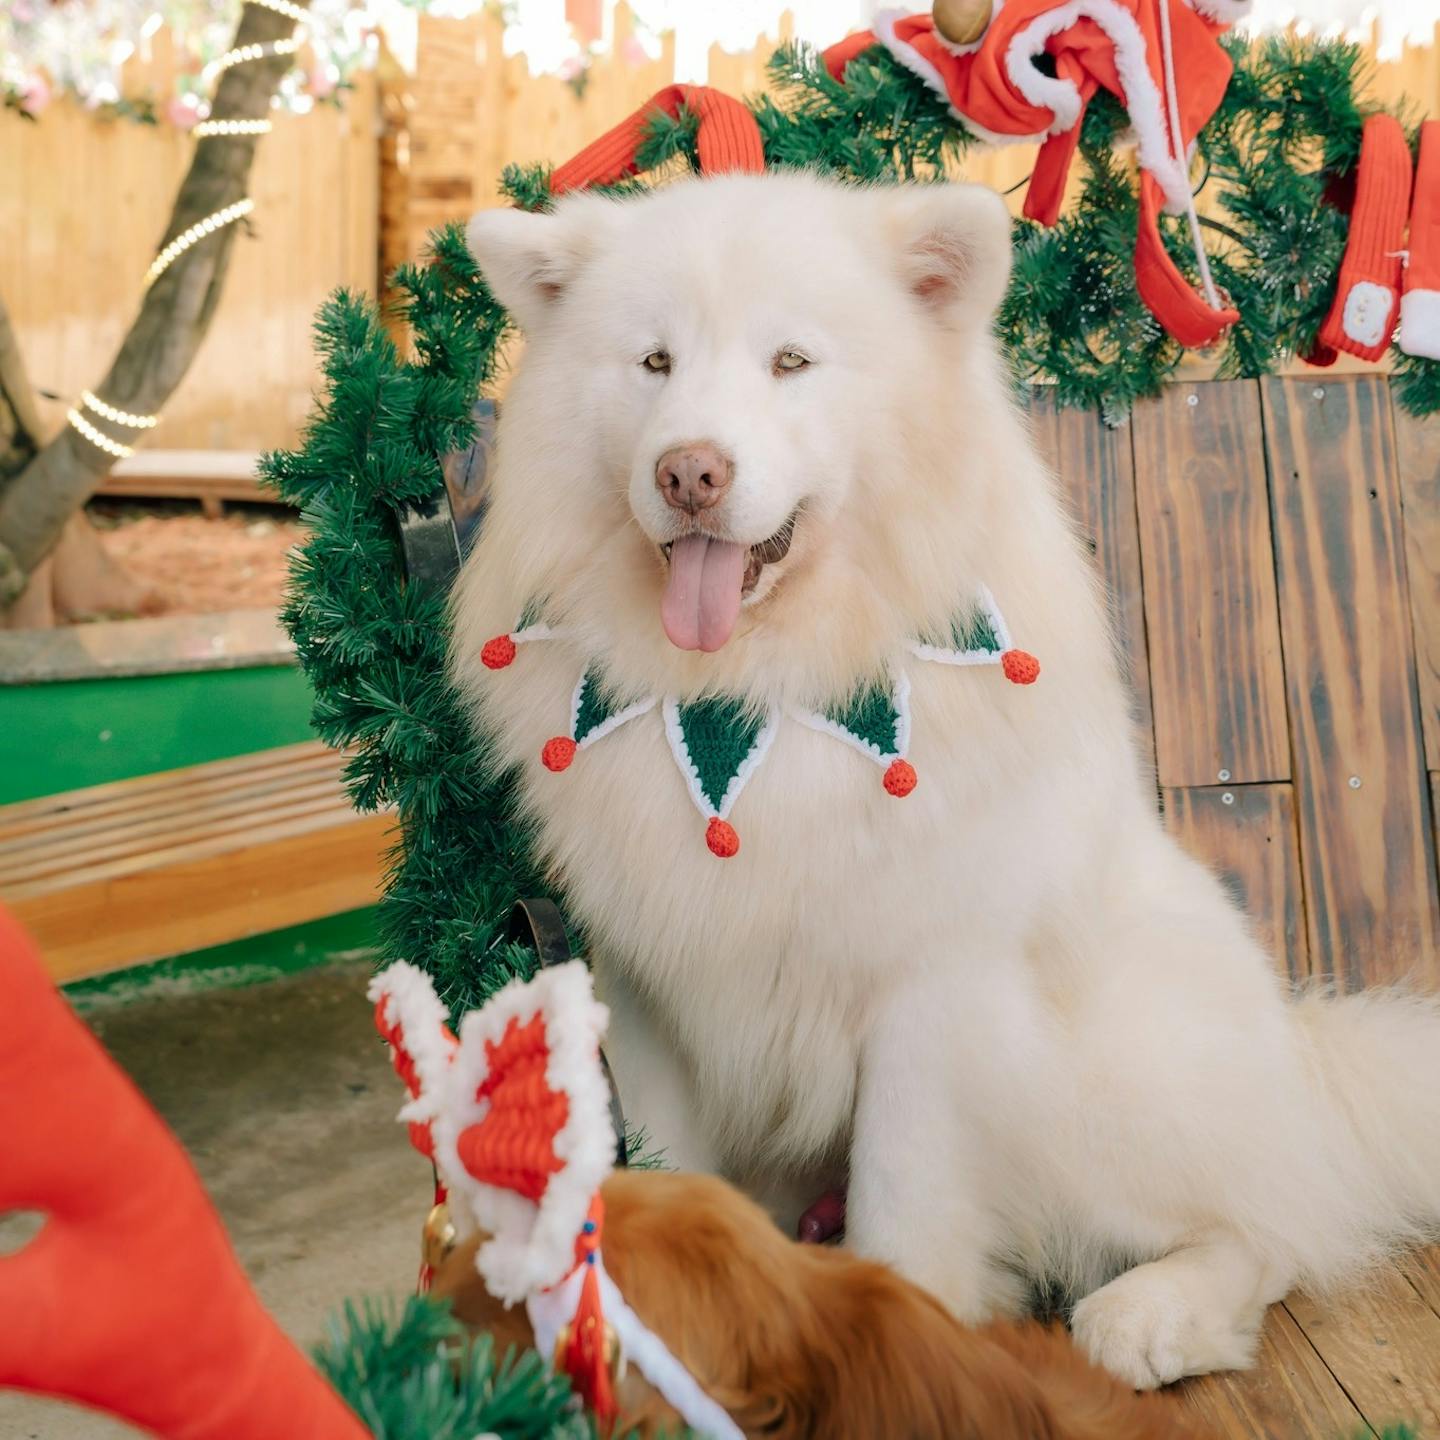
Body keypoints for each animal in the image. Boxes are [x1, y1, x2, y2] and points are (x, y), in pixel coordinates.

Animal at [449, 174, 1440, 1388]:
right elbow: (667, 1164)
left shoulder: (927, 994)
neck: (759, 694)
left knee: (1277, 1222)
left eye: (791, 361)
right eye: (654, 363)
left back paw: (1150, 1317)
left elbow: (904, 1206)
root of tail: (1308, 1060)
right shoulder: (643, 989)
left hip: (1099, 1079)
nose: (689, 471)